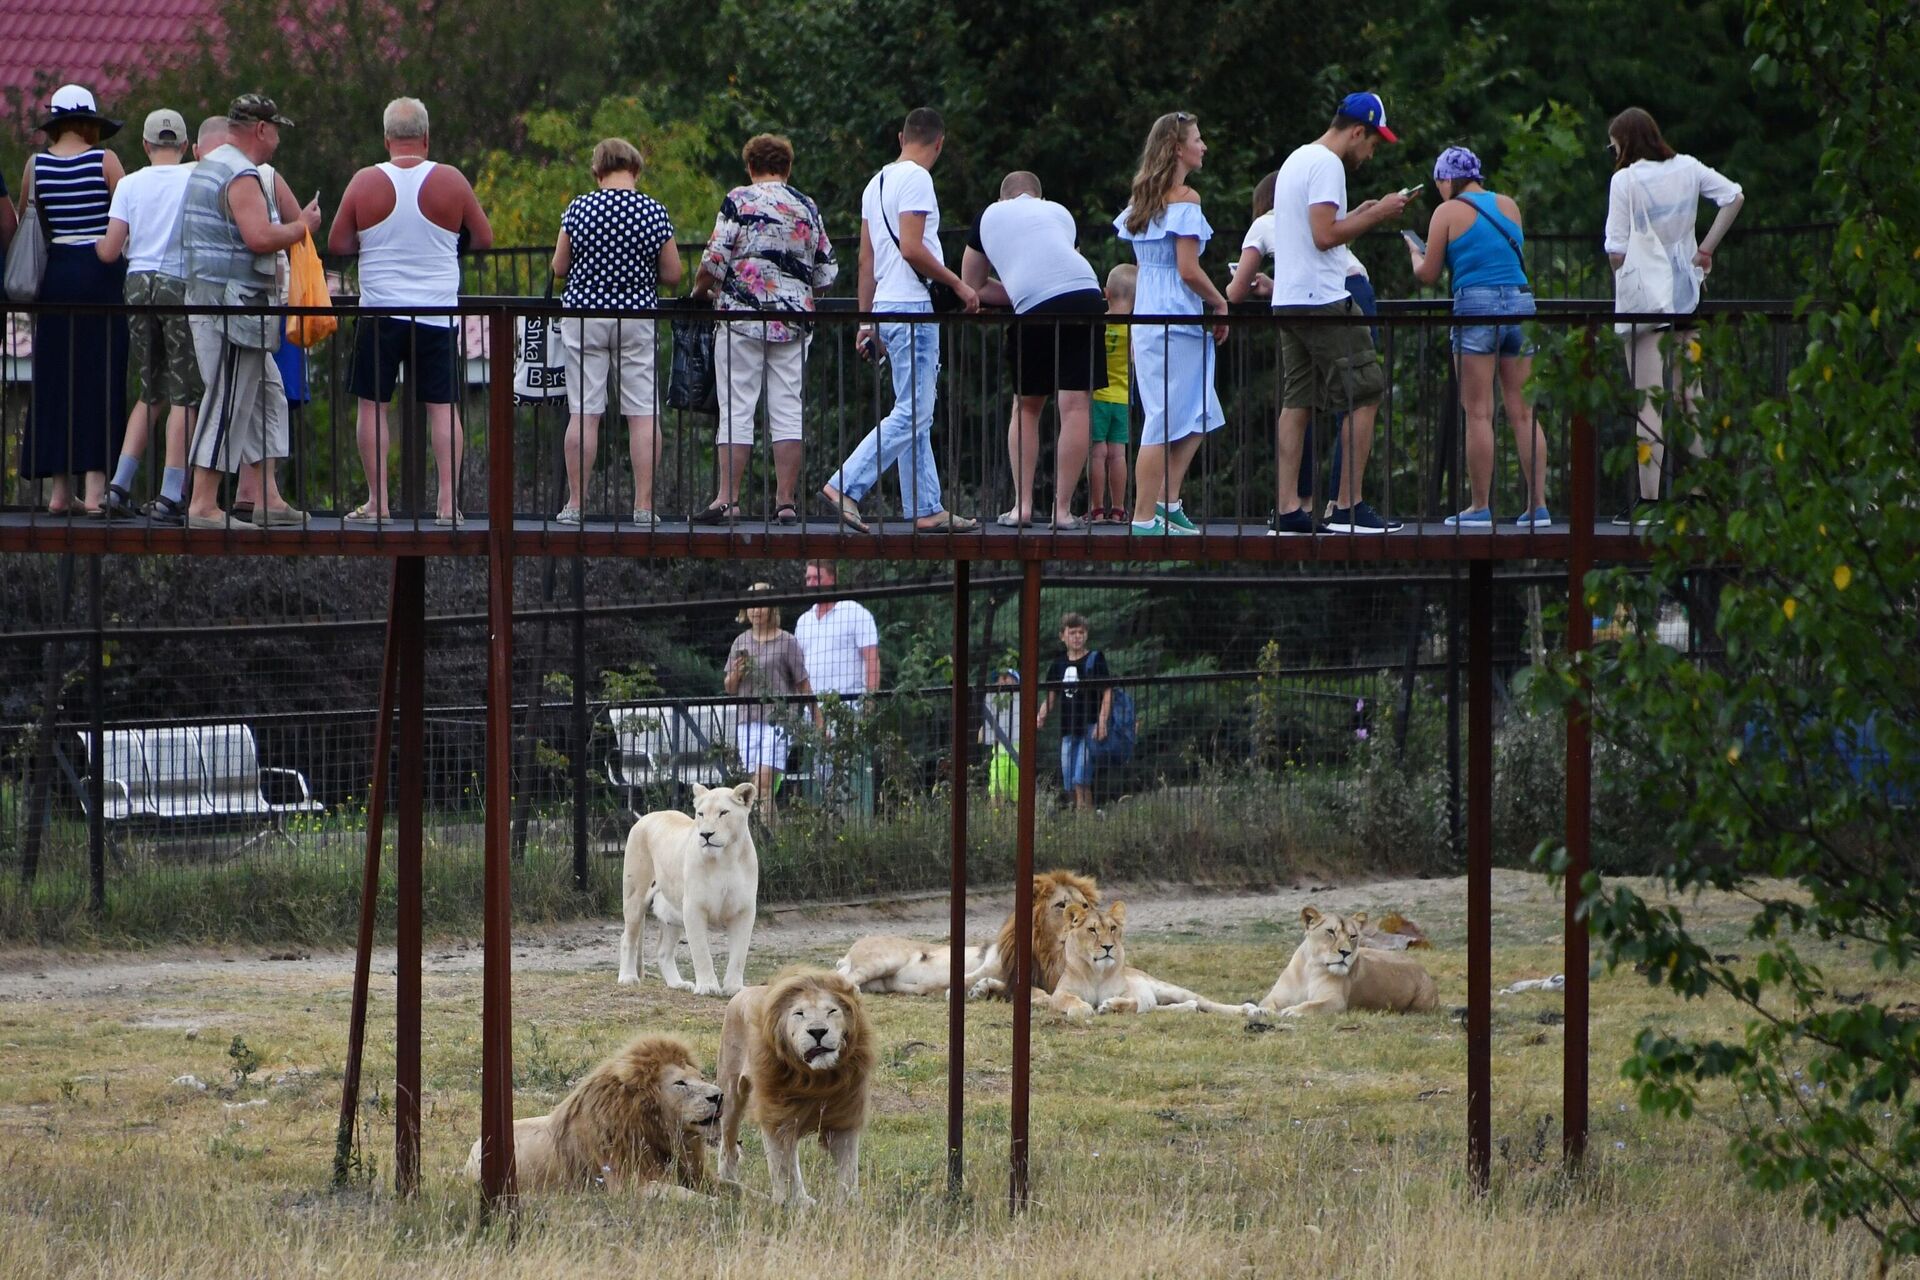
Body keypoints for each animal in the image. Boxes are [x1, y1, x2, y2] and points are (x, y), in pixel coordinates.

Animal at [466, 1036, 725, 1197]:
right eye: (680, 1083)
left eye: (701, 1077)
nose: (719, 1096)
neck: (657, 1132)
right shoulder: (625, 1184)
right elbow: (682, 1194)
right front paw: (714, 1204)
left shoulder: (694, 1173)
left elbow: (730, 1186)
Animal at [622, 782, 756, 997]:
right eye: (700, 814)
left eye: (723, 812)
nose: (706, 835)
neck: (725, 858)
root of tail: (646, 817)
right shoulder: (694, 908)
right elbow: (701, 952)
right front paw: (708, 987)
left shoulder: (744, 910)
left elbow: (739, 954)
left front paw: (734, 988)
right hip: (635, 898)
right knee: (627, 938)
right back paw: (627, 977)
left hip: (672, 914)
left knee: (663, 951)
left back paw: (678, 984)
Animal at [718, 971, 875, 1212]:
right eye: (799, 1013)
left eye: (832, 1011)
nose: (818, 1031)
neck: (816, 1078)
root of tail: (743, 992)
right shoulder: (777, 1118)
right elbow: (783, 1166)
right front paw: (791, 1202)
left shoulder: (844, 1118)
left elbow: (848, 1168)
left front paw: (849, 1204)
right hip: (731, 1095)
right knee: (727, 1145)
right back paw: (730, 1182)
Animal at [837, 871, 1105, 997]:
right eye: (1061, 905)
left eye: (1085, 905)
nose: (1082, 922)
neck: (1049, 953)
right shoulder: (989, 964)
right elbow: (967, 978)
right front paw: (958, 991)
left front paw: (982, 991)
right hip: (881, 961)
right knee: (847, 978)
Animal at [1259, 905, 1443, 1013]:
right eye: (1330, 932)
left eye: (1353, 936)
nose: (1345, 952)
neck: (1310, 969)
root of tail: (1423, 969)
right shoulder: (1274, 997)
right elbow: (1265, 1004)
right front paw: (1262, 1012)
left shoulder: (1336, 1001)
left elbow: (1312, 1005)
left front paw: (1291, 1011)